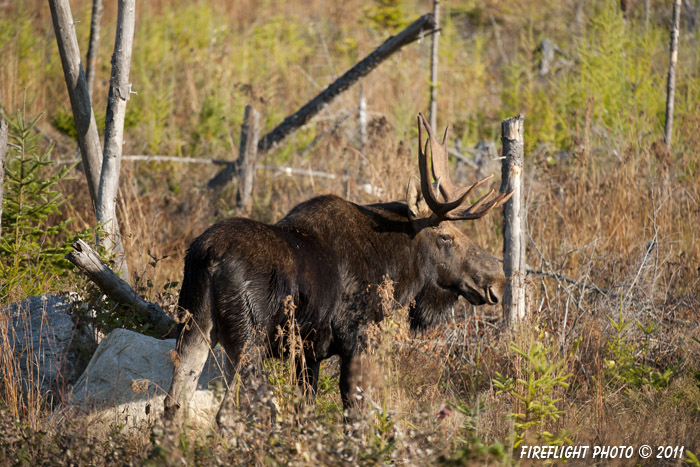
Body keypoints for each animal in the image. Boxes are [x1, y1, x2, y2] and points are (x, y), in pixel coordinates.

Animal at [165, 112, 516, 428]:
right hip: (250, 339)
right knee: (227, 413)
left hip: (196, 325)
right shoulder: (356, 338)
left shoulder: (308, 354)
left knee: (174, 404)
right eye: (446, 237)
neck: (395, 269)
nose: (497, 281)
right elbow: (354, 414)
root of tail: (208, 257)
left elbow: (306, 413)